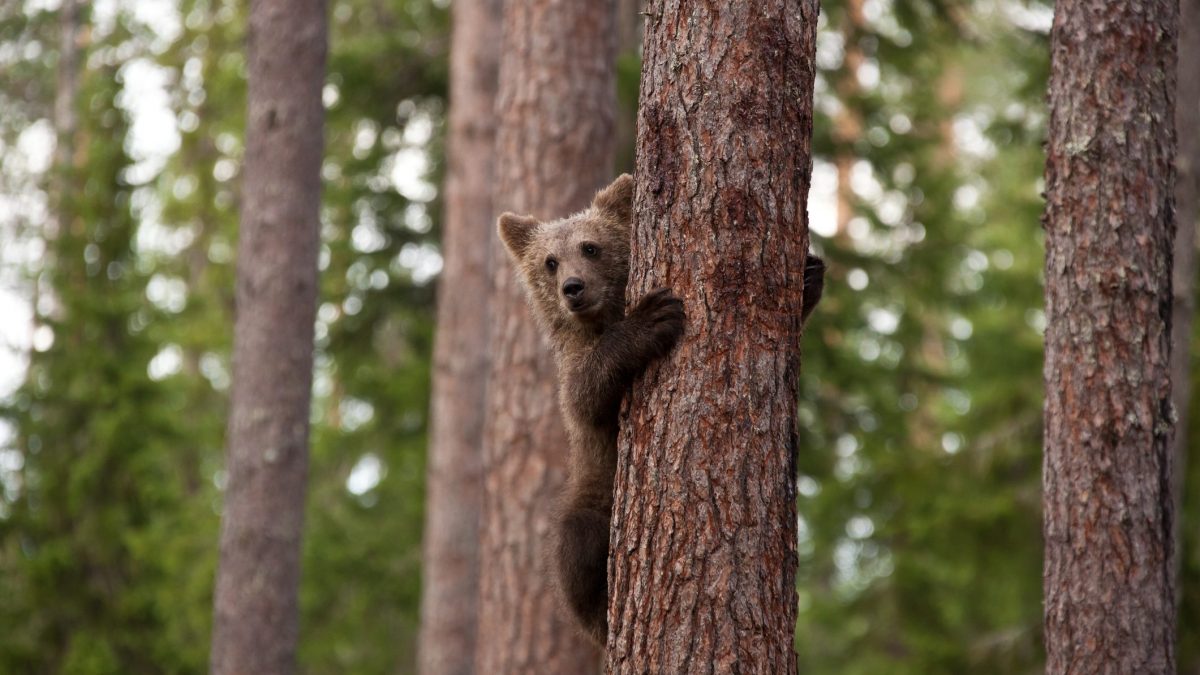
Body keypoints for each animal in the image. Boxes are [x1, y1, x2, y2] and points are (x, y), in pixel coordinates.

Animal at [496, 173, 825, 646]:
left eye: (590, 247)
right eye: (550, 262)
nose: (573, 289)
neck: (602, 316)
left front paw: (809, 276)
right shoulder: (575, 371)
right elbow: (583, 397)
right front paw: (650, 319)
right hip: (594, 491)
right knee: (575, 544)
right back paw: (604, 610)